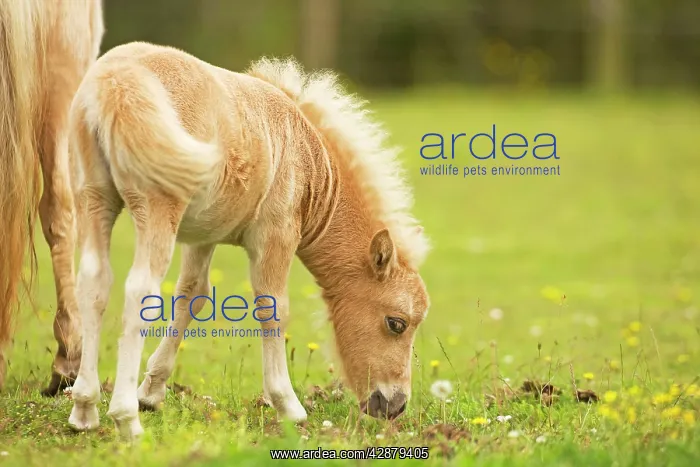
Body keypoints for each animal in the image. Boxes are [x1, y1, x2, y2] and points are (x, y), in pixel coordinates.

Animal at [67, 41, 431, 439]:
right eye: (396, 323)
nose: (395, 405)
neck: (306, 156)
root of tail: (115, 81)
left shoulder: (204, 234)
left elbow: (191, 295)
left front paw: (151, 392)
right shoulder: (276, 235)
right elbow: (273, 307)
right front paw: (288, 406)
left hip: (93, 199)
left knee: (94, 283)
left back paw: (84, 408)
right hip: (157, 207)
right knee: (139, 291)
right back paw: (125, 419)